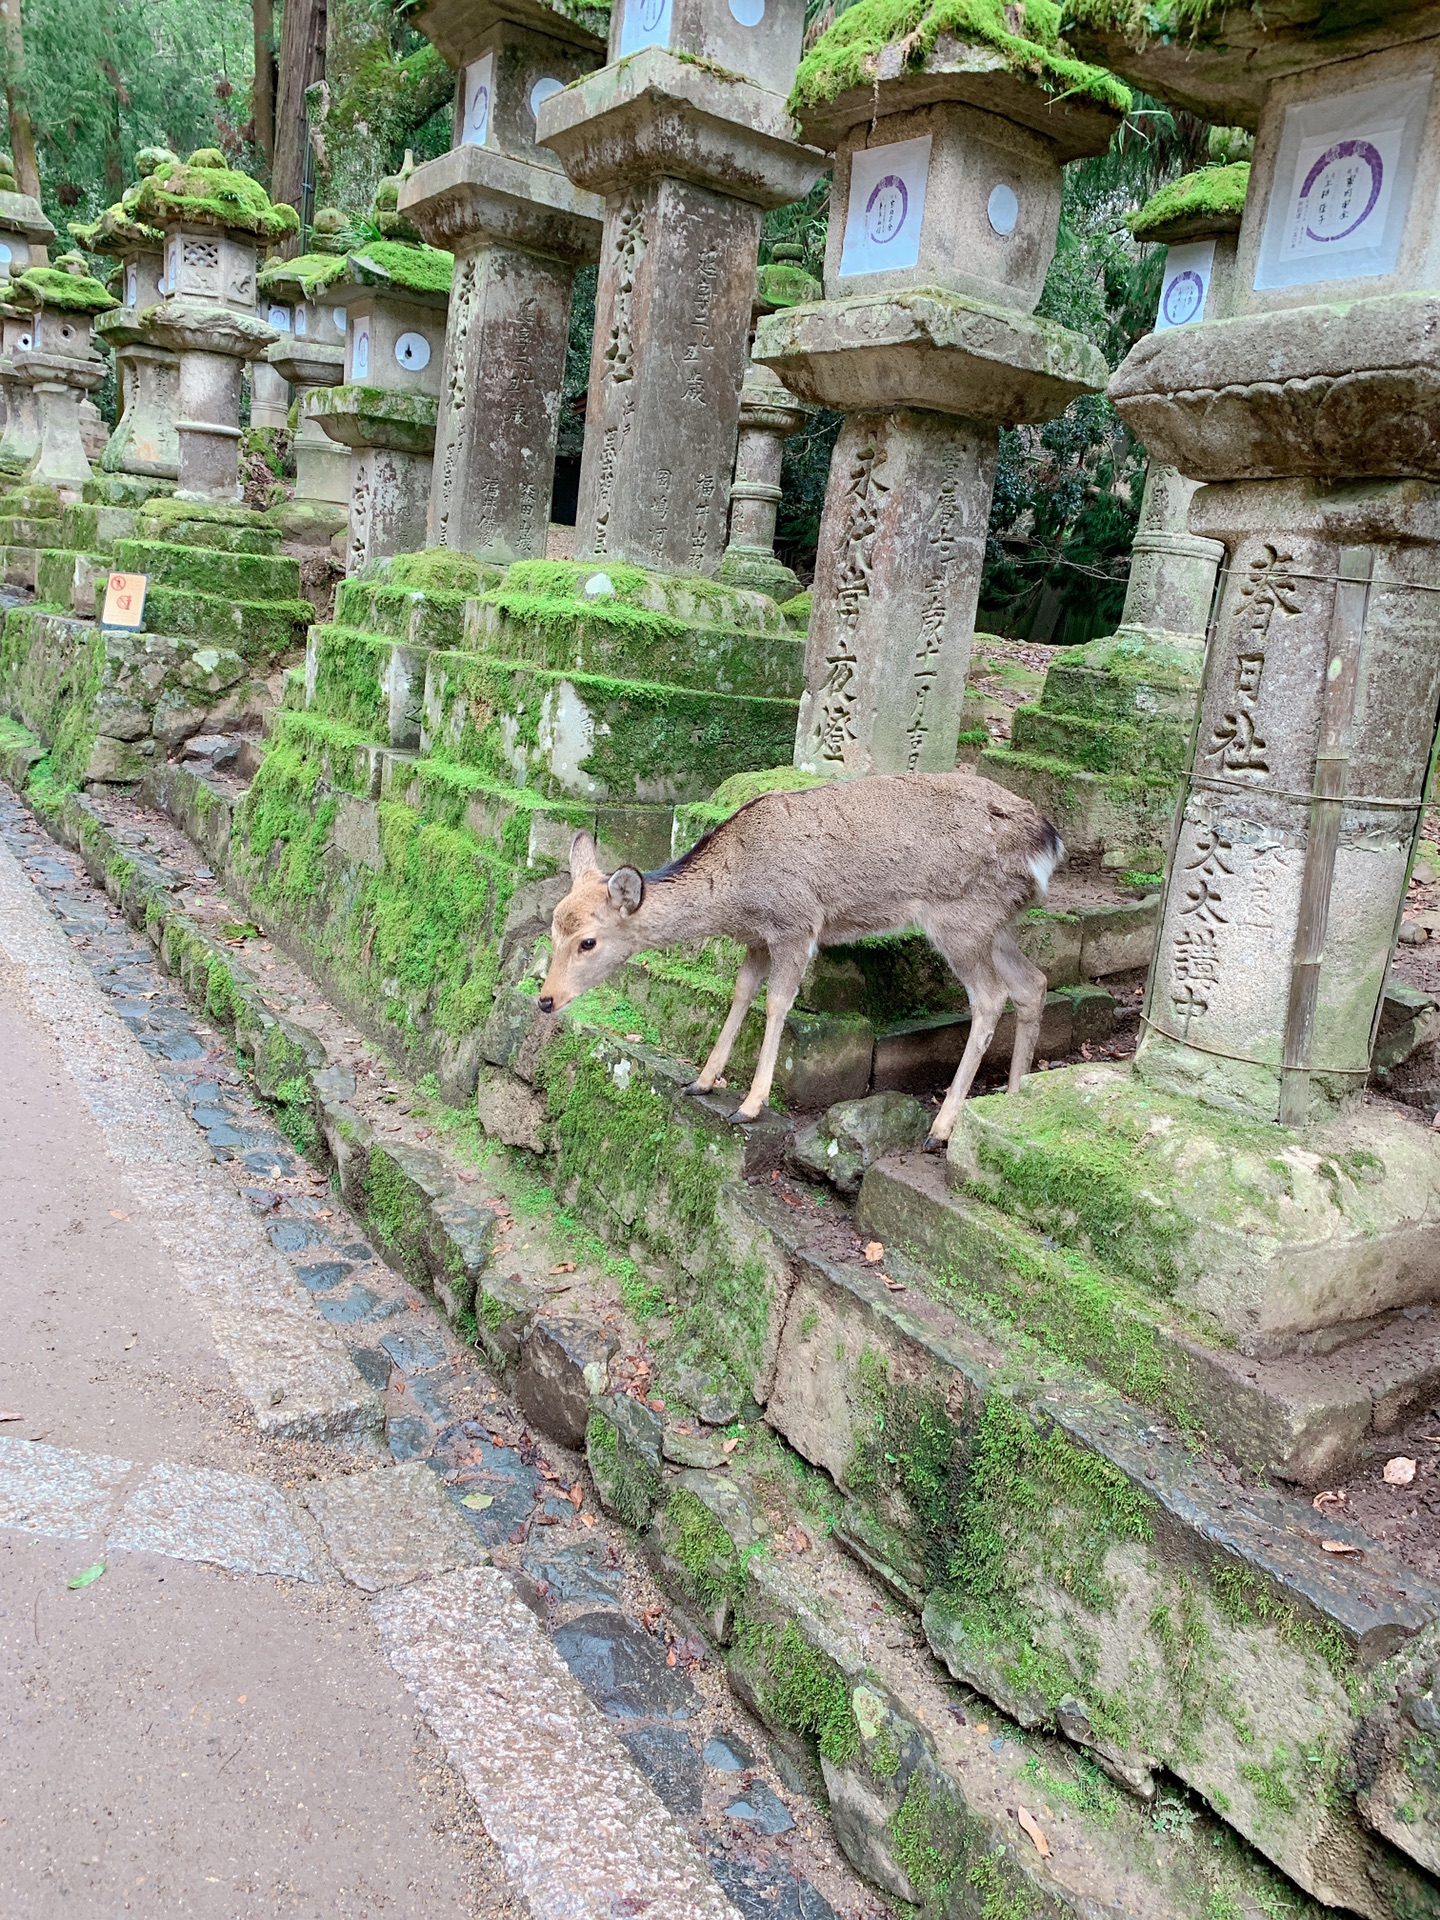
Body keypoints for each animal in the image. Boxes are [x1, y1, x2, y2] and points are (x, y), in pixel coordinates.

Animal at [537, 771, 1067, 1144]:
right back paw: (1012, 1100)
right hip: (996, 921)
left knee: (991, 996)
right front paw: (702, 1081)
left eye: (587, 942)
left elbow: (776, 1004)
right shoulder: (756, 938)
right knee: (1033, 982)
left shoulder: (795, 925)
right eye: (551, 926)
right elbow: (740, 993)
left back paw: (942, 1129)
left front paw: (750, 1104)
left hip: (961, 917)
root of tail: (1049, 841)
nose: (545, 999)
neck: (736, 896)